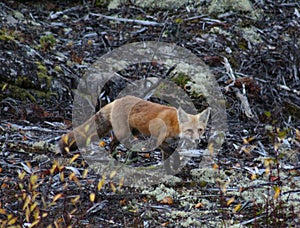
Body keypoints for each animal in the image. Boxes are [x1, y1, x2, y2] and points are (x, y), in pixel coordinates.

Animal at [56, 95, 211, 172]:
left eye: (200, 130)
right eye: (189, 130)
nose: (198, 141)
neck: (173, 124)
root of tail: (116, 101)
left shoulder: (166, 144)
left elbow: (168, 158)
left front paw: (170, 172)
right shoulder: (158, 140)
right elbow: (175, 153)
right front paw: (175, 166)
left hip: (133, 133)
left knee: (125, 144)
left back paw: (132, 157)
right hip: (123, 133)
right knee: (111, 145)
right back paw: (116, 160)